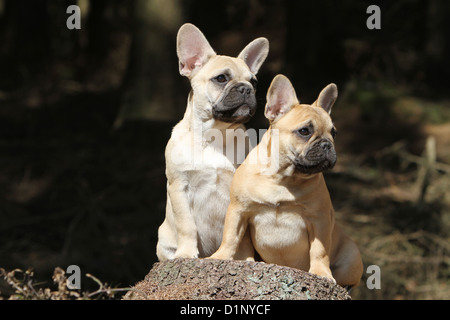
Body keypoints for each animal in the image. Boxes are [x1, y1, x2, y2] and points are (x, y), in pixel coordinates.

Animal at [156, 24, 268, 260]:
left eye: (253, 82)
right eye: (221, 79)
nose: (246, 88)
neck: (216, 136)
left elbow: (240, 234)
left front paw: (244, 259)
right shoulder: (179, 187)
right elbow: (187, 226)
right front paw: (186, 253)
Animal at [209, 74, 364, 288]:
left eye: (334, 133)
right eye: (304, 131)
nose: (327, 145)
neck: (283, 177)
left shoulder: (320, 219)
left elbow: (319, 250)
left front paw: (321, 273)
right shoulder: (238, 210)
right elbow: (231, 237)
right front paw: (221, 256)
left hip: (352, 257)